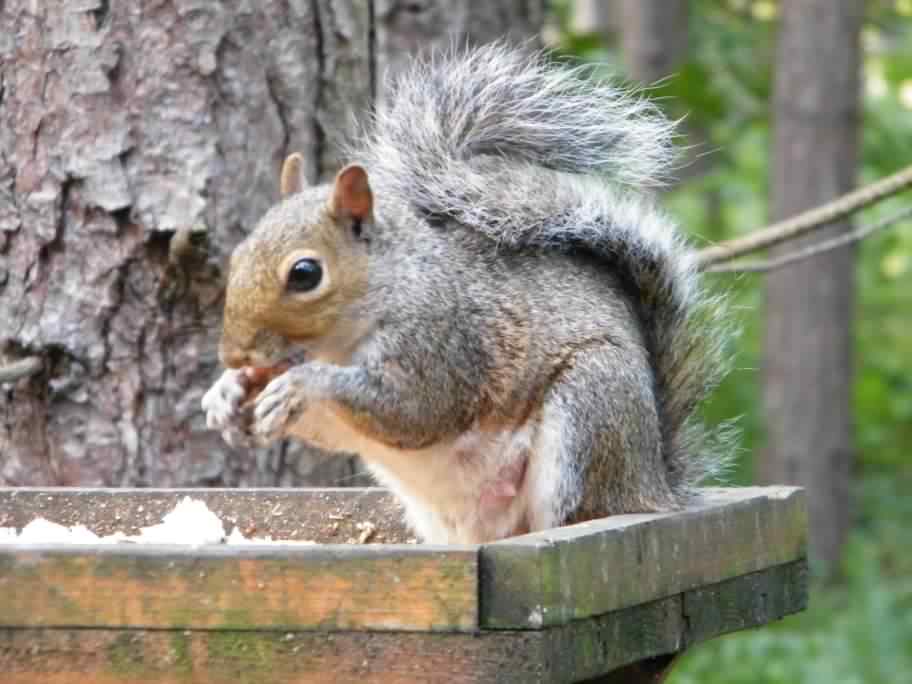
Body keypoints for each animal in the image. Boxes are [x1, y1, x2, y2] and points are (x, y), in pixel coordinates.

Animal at [203, 42, 732, 544]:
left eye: (305, 274)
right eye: (239, 253)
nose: (233, 354)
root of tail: (654, 487)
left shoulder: (443, 343)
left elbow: (412, 408)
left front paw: (300, 384)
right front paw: (224, 394)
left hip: (590, 408)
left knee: (578, 509)